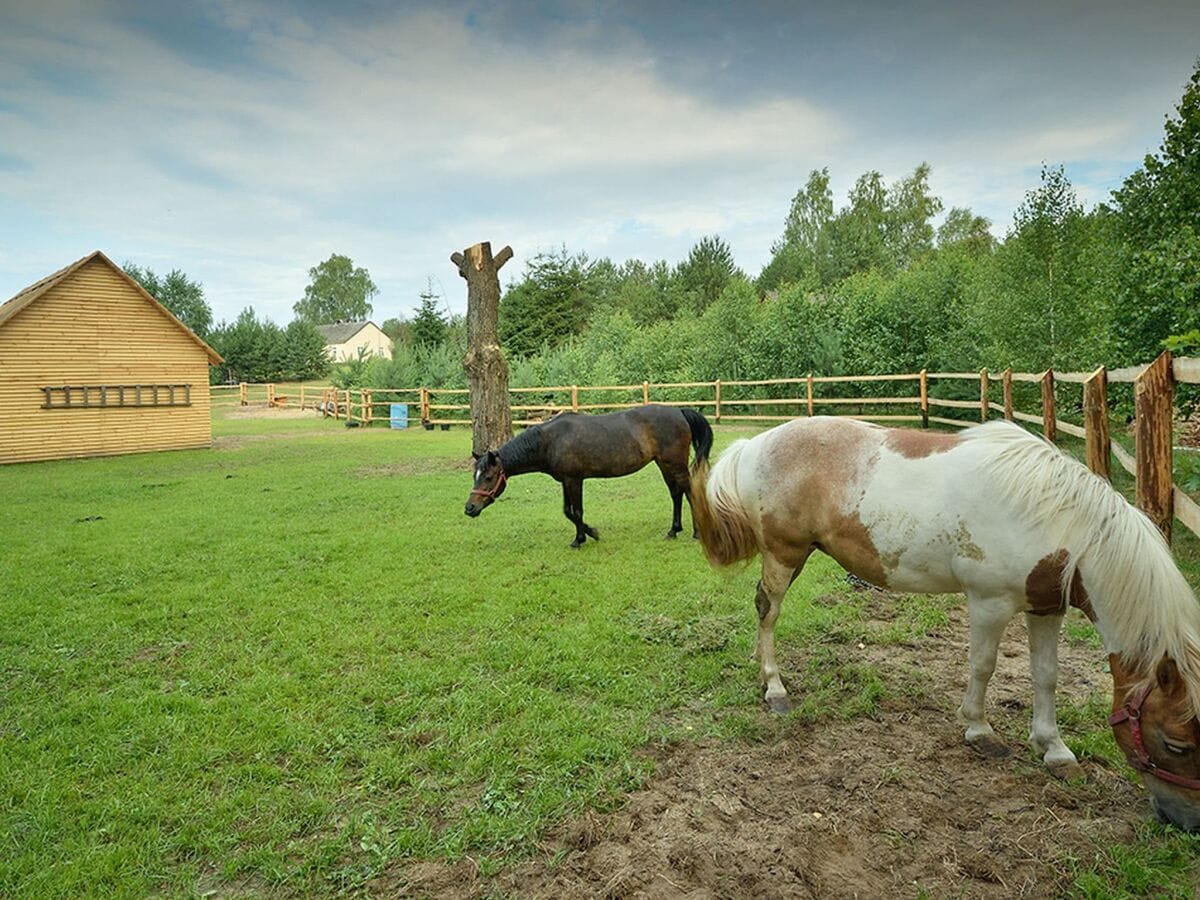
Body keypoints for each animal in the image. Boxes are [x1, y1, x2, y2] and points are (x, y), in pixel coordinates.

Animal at [465, 408, 710, 549]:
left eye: (488, 477)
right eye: (474, 476)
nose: (469, 508)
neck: (549, 441)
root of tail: (679, 411)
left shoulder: (575, 480)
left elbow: (577, 512)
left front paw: (583, 537)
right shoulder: (566, 481)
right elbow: (568, 511)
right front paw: (587, 534)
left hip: (674, 464)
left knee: (689, 492)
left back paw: (697, 532)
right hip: (664, 464)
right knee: (676, 493)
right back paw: (674, 530)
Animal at [691, 415, 1200, 830]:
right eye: (1177, 745)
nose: (1185, 822)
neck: (1056, 520)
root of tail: (755, 443)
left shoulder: (1045, 608)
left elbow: (1046, 677)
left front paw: (1054, 749)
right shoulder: (990, 604)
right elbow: (983, 666)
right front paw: (979, 730)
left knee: (762, 610)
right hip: (784, 553)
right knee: (769, 610)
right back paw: (775, 688)